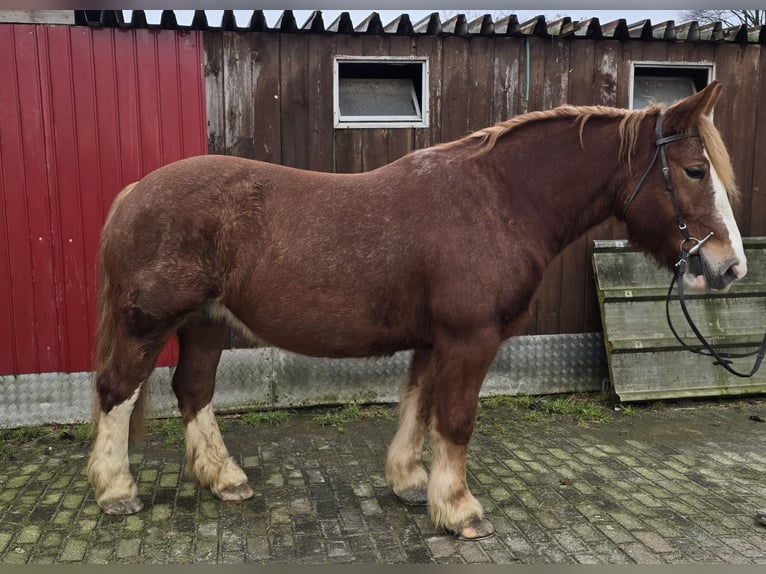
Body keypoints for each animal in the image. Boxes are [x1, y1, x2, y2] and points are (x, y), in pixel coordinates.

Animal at [88, 82, 744, 544]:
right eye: (694, 171)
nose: (730, 267)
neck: (499, 199)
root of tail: (134, 192)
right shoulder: (470, 338)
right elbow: (455, 420)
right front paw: (459, 510)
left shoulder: (436, 341)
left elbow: (419, 406)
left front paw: (409, 483)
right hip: (148, 323)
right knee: (117, 390)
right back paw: (116, 490)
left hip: (206, 321)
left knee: (193, 389)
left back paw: (226, 480)